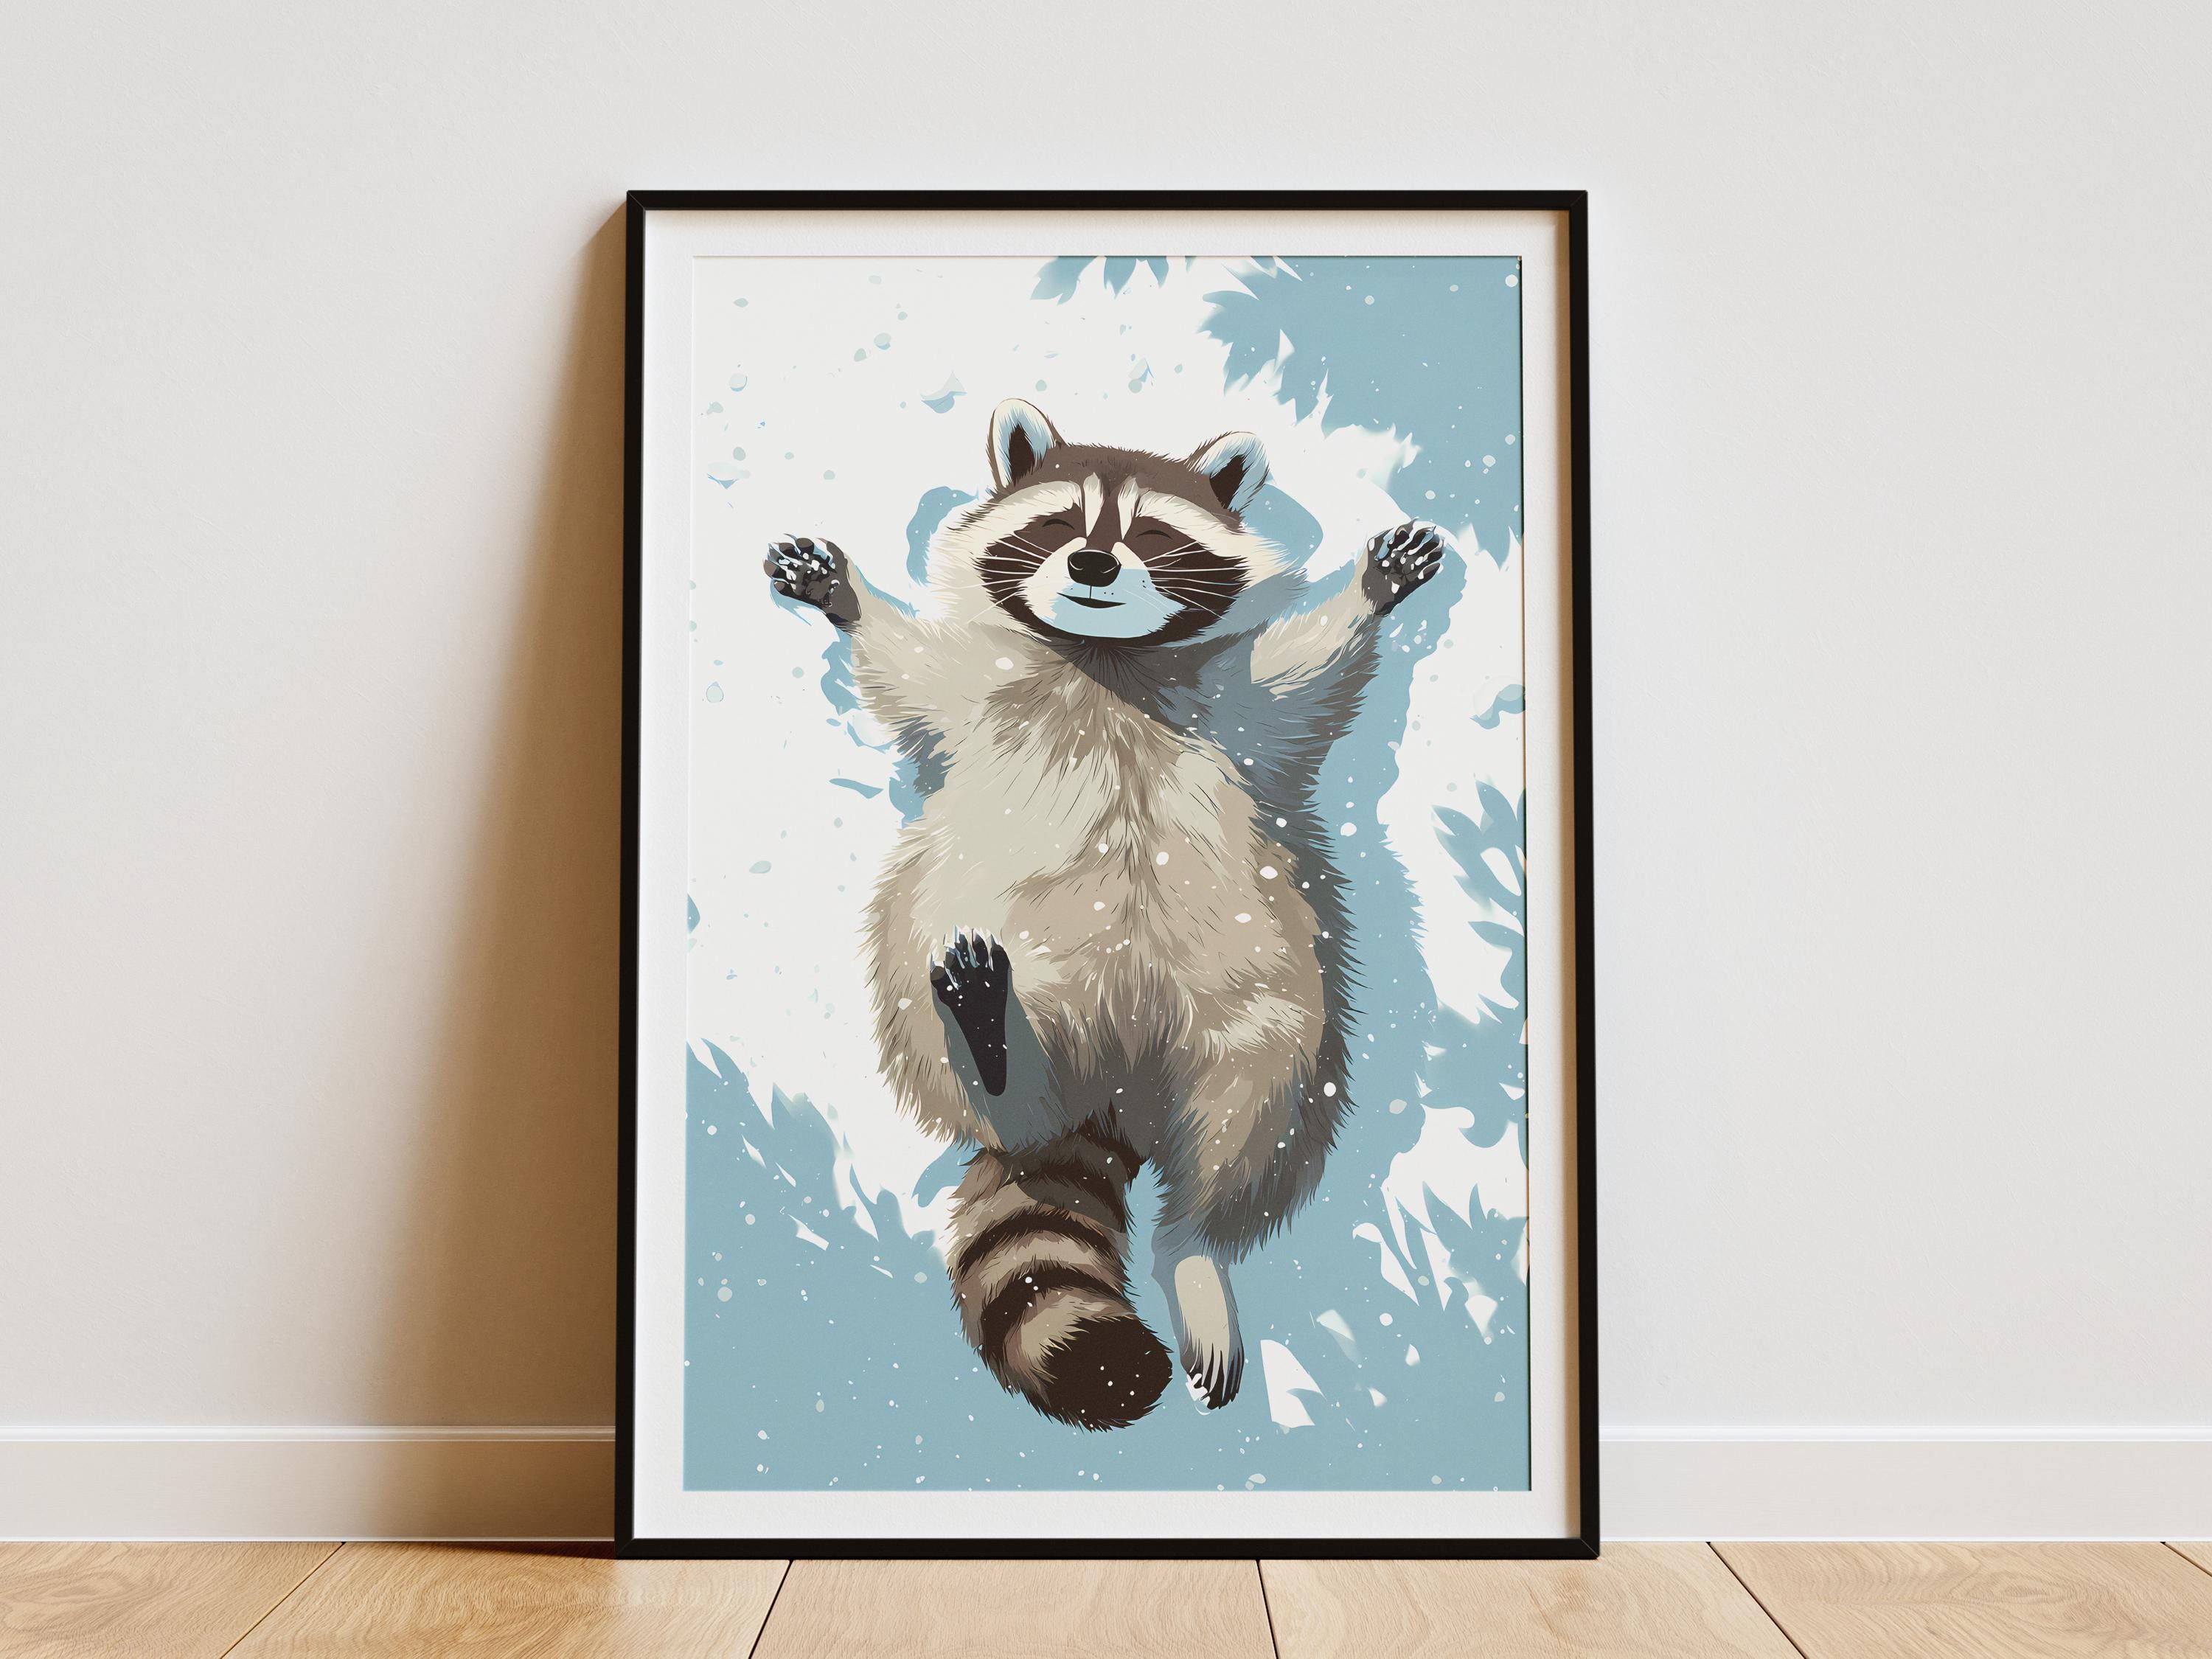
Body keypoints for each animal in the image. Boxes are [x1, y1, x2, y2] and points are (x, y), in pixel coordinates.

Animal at [764, 398, 1449, 1429]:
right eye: (1060, 523)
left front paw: (1369, 593)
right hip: (940, 958)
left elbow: (1301, 679)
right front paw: (846, 598)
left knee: (1256, 1106)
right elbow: (908, 666)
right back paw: (997, 1062)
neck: (1104, 661)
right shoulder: (978, 689)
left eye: (1149, 535)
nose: (1092, 566)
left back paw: (1195, 1249)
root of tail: (1114, 1089)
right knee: (958, 1041)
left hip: (1264, 1000)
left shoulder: (1232, 705)